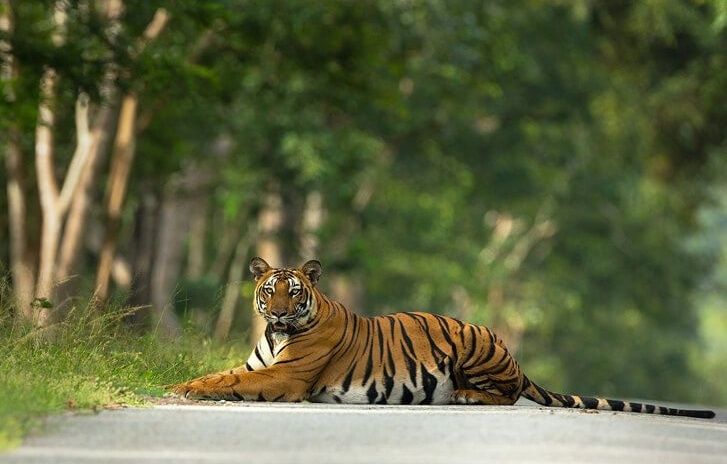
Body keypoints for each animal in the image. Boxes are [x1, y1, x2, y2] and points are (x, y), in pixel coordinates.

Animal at [171, 257, 715, 419]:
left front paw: (187, 390)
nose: (280, 313)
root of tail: (515, 356)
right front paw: (183, 385)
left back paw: (466, 396)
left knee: (508, 395)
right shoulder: (257, 367)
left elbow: (226, 383)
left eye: (294, 291)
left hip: (472, 342)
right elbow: (221, 374)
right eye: (270, 290)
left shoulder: (286, 379)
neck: (280, 335)